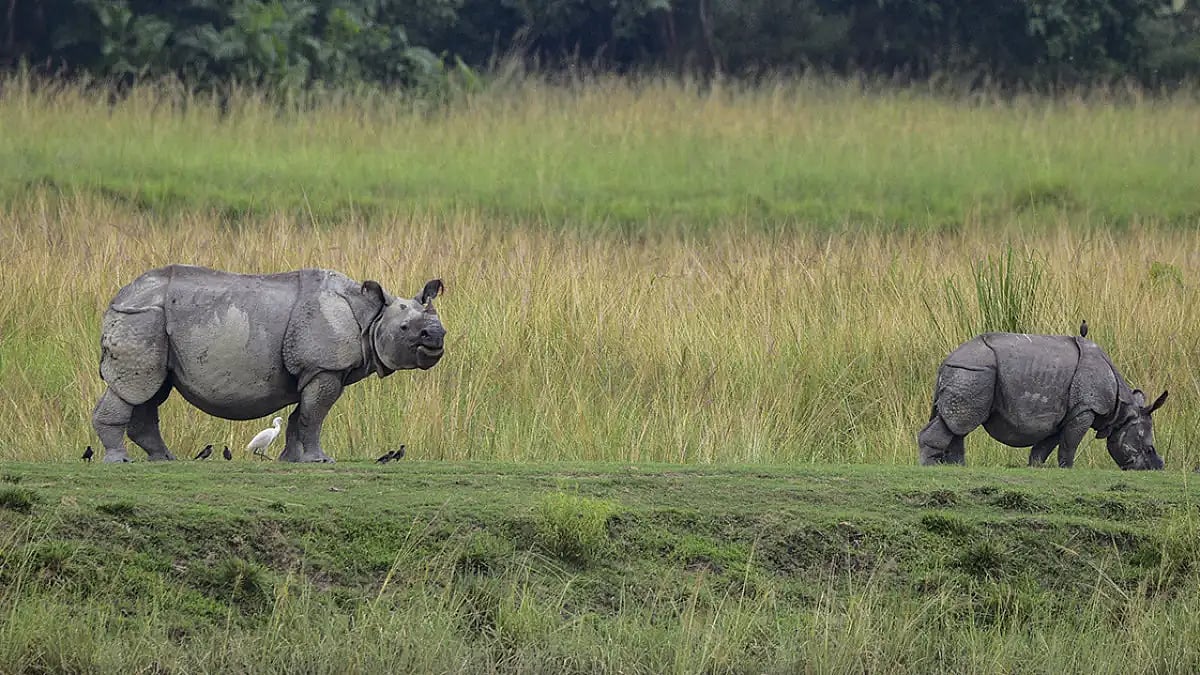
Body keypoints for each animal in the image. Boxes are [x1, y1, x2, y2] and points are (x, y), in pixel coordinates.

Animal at [92, 265, 446, 463]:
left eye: (436, 321)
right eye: (405, 328)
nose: (437, 335)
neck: (370, 315)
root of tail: (117, 298)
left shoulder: (313, 371)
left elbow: (298, 417)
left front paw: (292, 459)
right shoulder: (324, 368)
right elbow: (314, 416)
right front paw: (320, 461)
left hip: (152, 320)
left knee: (152, 389)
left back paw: (164, 459)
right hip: (141, 317)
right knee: (135, 388)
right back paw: (120, 462)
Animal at [917, 332, 1167, 470]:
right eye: (1149, 449)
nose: (1154, 469)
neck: (1122, 410)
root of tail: (947, 360)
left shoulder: (1066, 413)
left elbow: (1047, 444)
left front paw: (1036, 466)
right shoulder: (1085, 409)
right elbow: (1070, 443)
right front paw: (1067, 469)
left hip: (970, 372)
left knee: (958, 424)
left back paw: (956, 466)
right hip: (974, 372)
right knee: (961, 421)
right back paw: (930, 466)